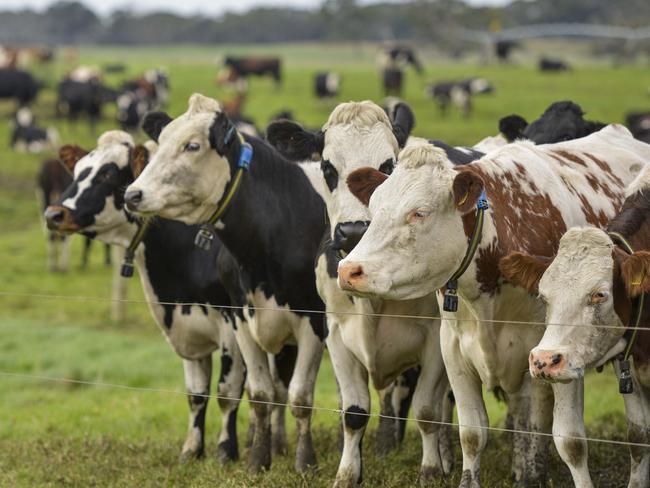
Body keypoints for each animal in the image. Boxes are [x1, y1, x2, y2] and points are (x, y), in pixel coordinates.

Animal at [39, 132, 270, 466]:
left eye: (108, 174)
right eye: (78, 170)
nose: (54, 214)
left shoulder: (231, 319)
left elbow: (227, 391)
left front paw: (226, 451)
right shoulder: (187, 327)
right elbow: (196, 394)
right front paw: (191, 450)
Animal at [122, 93, 326, 474]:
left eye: (192, 145)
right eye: (161, 140)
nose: (133, 194)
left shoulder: (313, 321)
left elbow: (301, 397)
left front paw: (306, 462)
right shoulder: (242, 318)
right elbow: (261, 394)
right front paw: (258, 460)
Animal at [266, 99, 454, 484]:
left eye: (388, 166)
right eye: (327, 167)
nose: (353, 231)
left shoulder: (435, 338)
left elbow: (428, 410)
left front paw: (430, 472)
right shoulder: (337, 333)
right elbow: (353, 412)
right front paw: (347, 474)